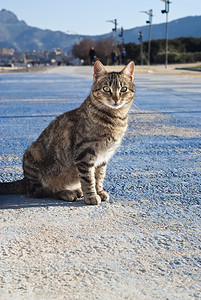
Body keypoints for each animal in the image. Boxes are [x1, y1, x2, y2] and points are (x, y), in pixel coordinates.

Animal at [0, 61, 135, 206]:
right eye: (106, 89)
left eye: (123, 89)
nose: (116, 99)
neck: (115, 118)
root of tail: (25, 179)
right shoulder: (84, 153)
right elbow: (88, 179)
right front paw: (91, 196)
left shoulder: (103, 157)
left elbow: (99, 176)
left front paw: (99, 191)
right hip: (33, 154)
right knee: (39, 192)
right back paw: (65, 192)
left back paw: (76, 190)